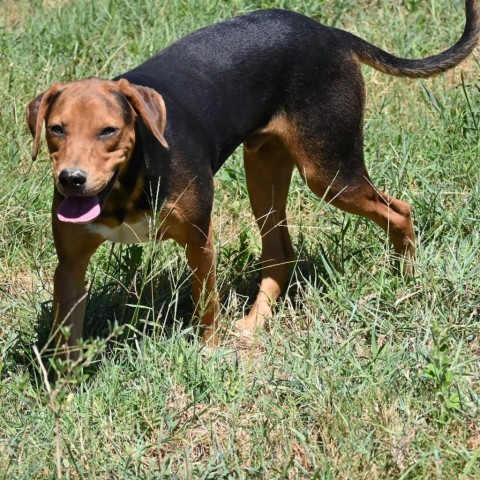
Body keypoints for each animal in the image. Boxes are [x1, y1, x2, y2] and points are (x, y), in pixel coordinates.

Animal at [27, 1, 480, 356]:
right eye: (56, 129)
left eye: (108, 131)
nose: (71, 179)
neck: (129, 182)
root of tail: (329, 33)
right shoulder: (70, 264)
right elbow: (66, 339)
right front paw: (62, 397)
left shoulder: (199, 239)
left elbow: (206, 306)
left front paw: (209, 355)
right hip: (262, 170)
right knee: (280, 252)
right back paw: (255, 321)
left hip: (329, 173)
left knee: (399, 211)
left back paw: (407, 282)